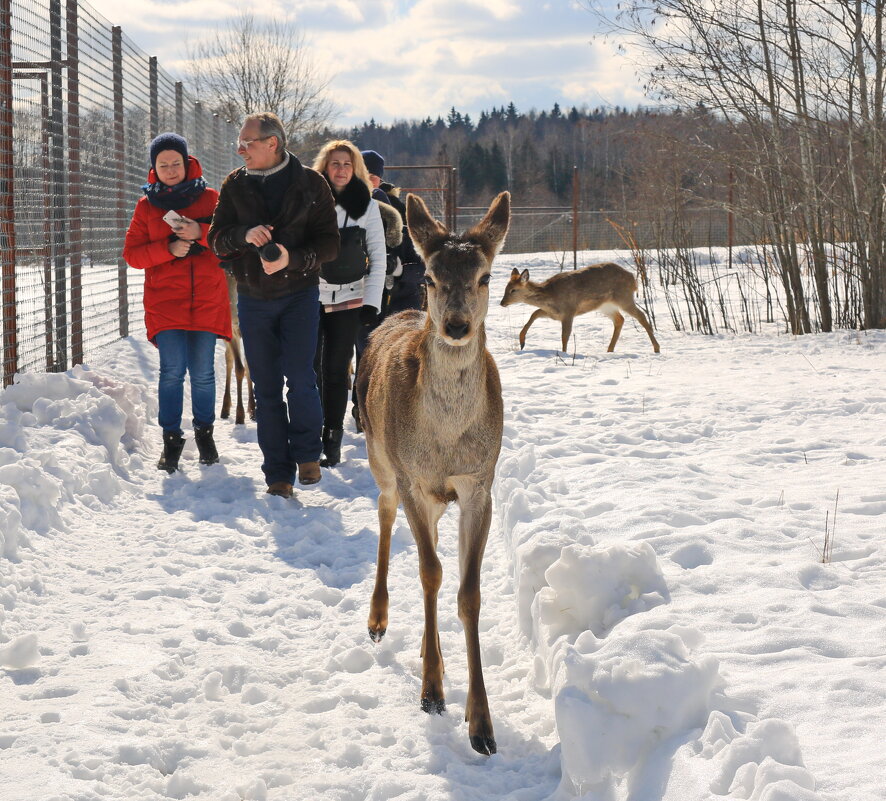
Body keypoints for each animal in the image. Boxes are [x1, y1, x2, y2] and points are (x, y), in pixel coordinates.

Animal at [356, 191, 510, 752]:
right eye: (429, 276)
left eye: (485, 275)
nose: (457, 325)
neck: (445, 442)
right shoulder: (414, 480)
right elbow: (428, 573)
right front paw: (432, 693)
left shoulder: (480, 483)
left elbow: (468, 591)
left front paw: (481, 723)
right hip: (381, 459)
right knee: (384, 514)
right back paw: (379, 620)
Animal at [500, 262, 660, 354]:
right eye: (505, 288)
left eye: (513, 290)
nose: (502, 303)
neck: (550, 294)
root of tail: (633, 279)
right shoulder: (553, 313)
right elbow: (534, 313)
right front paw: (522, 342)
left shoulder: (569, 310)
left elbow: (565, 335)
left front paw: (564, 353)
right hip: (605, 305)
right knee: (619, 319)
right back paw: (609, 350)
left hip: (624, 297)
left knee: (641, 315)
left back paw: (656, 348)